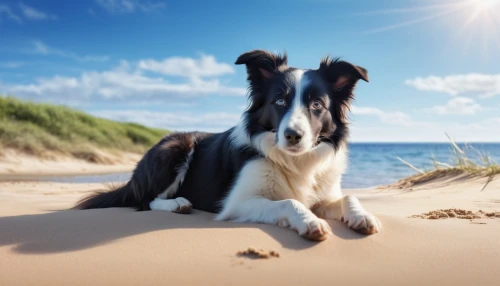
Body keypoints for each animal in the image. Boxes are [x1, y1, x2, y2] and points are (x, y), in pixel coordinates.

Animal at [74, 49, 380, 241]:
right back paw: (177, 204)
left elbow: (349, 197)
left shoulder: (325, 194)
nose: (293, 136)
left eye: (317, 105)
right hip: (175, 148)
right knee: (146, 201)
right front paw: (310, 221)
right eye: (280, 100)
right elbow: (288, 201)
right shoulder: (237, 203)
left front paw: (362, 216)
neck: (294, 160)